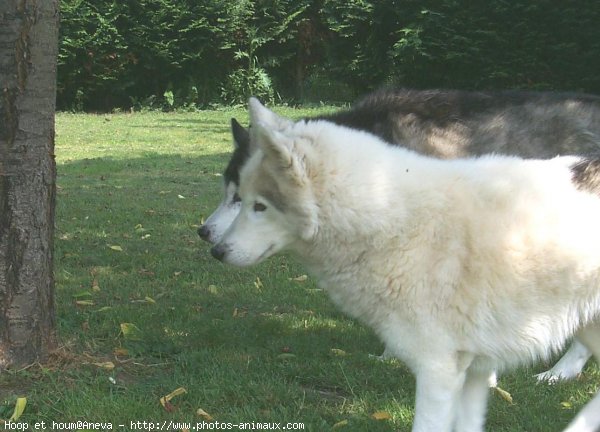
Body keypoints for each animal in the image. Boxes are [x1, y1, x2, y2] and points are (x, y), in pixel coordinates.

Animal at [213, 99, 600, 432]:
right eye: (239, 197)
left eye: (258, 206)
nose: (216, 249)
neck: (388, 218)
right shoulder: (472, 370)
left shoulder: (437, 370)